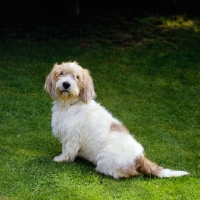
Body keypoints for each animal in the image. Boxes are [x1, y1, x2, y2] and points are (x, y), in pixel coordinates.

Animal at [44, 61, 189, 179]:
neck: (70, 104)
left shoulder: (72, 137)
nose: (66, 84)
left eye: (77, 77)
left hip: (105, 159)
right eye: (62, 73)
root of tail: (139, 157)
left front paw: (61, 159)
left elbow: (67, 151)